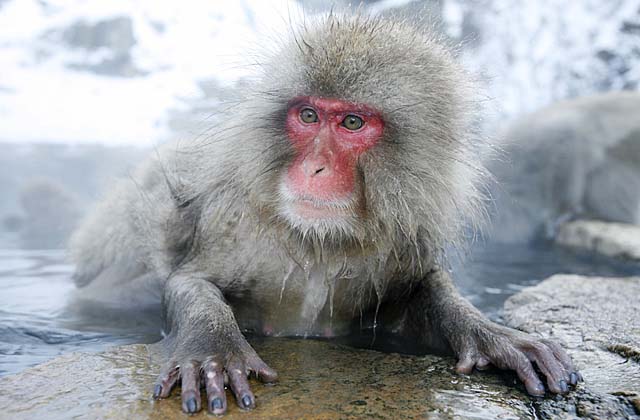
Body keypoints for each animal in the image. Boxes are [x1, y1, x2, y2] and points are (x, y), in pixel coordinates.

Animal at [70, 13, 580, 416]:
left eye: (352, 122)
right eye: (309, 115)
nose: (314, 167)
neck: (319, 241)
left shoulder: (400, 239)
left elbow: (421, 293)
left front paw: (488, 330)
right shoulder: (233, 221)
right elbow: (188, 281)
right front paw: (212, 345)